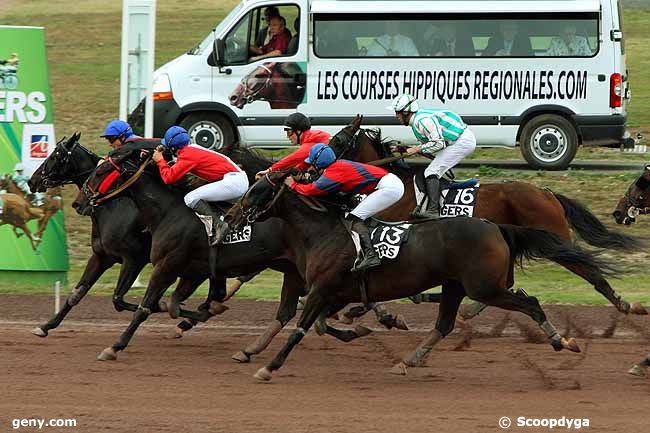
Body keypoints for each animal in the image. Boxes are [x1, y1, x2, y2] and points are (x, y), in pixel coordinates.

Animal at [230, 170, 616, 380]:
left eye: (257, 190)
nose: (232, 215)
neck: (323, 232)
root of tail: (496, 226)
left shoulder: (323, 290)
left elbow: (299, 329)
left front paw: (269, 367)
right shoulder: (336, 293)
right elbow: (325, 324)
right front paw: (363, 326)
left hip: (483, 286)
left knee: (530, 301)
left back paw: (562, 340)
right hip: (457, 285)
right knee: (445, 324)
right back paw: (407, 360)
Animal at [326, 116, 644, 316]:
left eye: (338, 140)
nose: (319, 162)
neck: (397, 183)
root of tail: (547, 193)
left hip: (554, 237)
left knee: (588, 268)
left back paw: (623, 304)